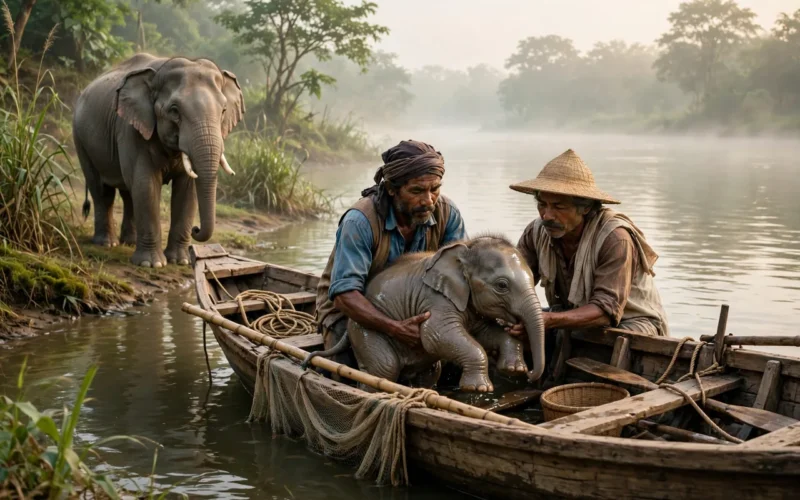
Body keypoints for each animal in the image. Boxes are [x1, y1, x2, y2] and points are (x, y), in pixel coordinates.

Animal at [72, 53, 245, 267]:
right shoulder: (132, 129)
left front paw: (180, 261)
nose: (196, 229)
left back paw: (129, 242)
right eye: (174, 111)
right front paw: (152, 264)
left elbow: (187, 190)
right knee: (102, 190)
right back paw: (107, 244)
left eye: (223, 111)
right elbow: (146, 183)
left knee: (128, 192)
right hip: (80, 139)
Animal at [305, 235, 546, 393]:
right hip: (364, 330)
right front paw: (479, 389)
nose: (531, 377)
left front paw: (514, 369)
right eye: (502, 285)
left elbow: (486, 333)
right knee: (384, 368)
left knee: (429, 371)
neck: (466, 249)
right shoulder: (435, 300)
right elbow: (436, 335)